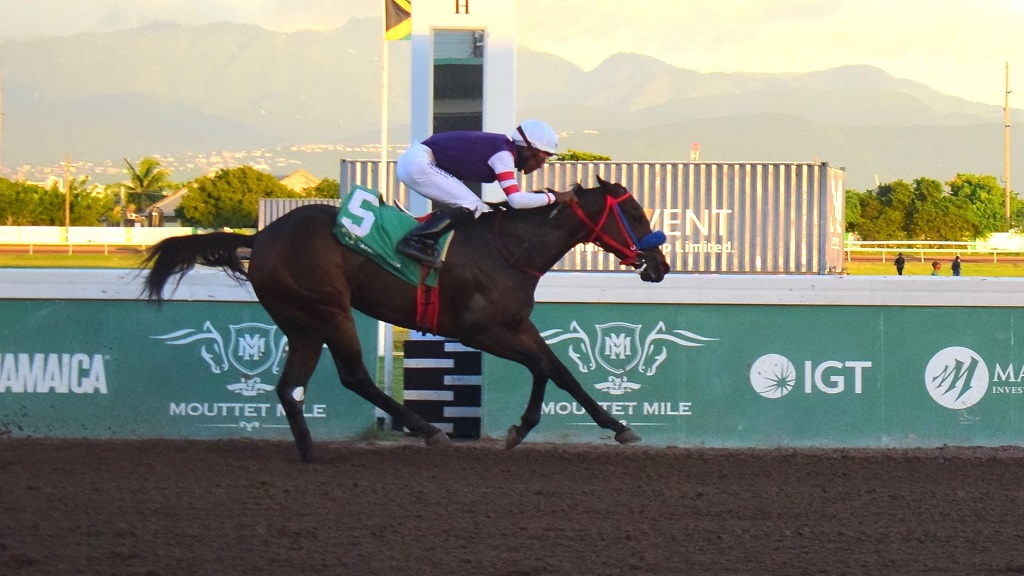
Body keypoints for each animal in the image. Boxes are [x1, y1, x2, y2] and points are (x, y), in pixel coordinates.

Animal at [144, 174, 671, 457]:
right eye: (636, 216)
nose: (661, 266)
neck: (508, 248)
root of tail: (260, 236)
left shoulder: (517, 324)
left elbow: (561, 370)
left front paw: (618, 426)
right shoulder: (477, 330)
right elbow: (542, 366)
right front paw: (519, 429)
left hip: (301, 323)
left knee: (289, 388)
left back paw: (310, 453)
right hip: (329, 310)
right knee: (354, 375)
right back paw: (428, 429)